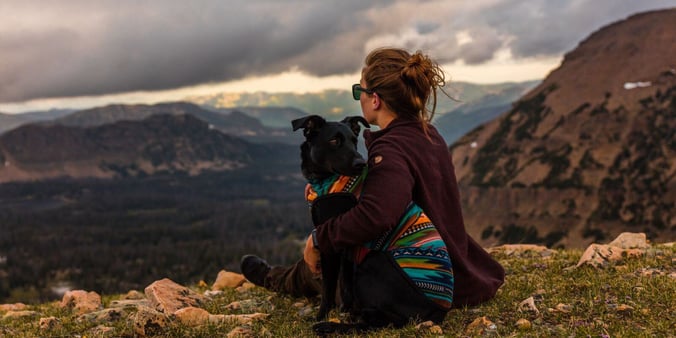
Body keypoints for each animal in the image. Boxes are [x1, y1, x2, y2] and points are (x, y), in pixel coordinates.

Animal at [290, 114, 370, 322]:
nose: (361, 164)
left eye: (354, 141)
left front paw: (322, 315)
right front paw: (346, 309)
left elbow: (330, 285)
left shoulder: (330, 240)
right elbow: (345, 281)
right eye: (334, 141)